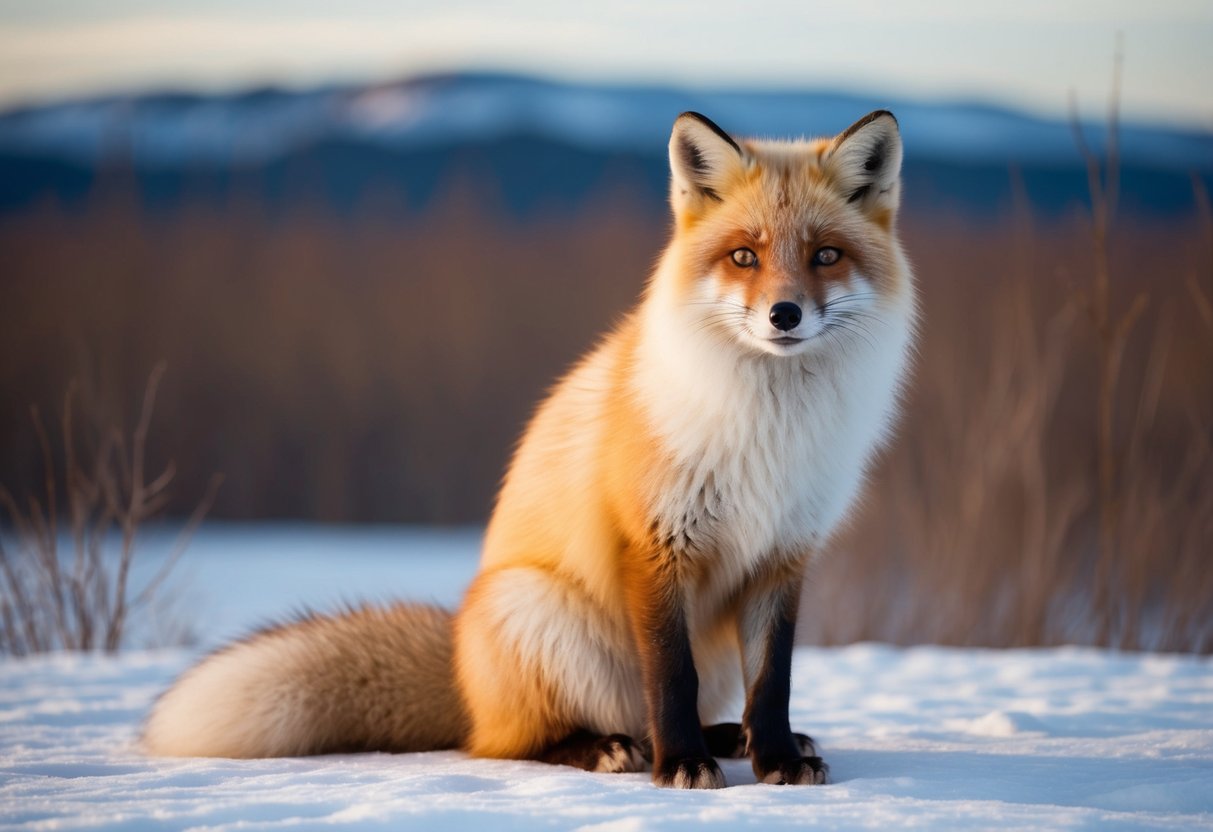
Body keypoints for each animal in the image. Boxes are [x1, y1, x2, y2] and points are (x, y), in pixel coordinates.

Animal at [142, 109, 917, 788]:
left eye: (824, 255)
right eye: (744, 256)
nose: (784, 314)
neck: (769, 431)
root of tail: (463, 675)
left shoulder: (783, 556)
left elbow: (774, 680)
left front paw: (776, 757)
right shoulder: (653, 544)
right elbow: (671, 675)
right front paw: (681, 768)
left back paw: (729, 738)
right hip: (536, 608)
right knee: (518, 743)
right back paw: (616, 748)